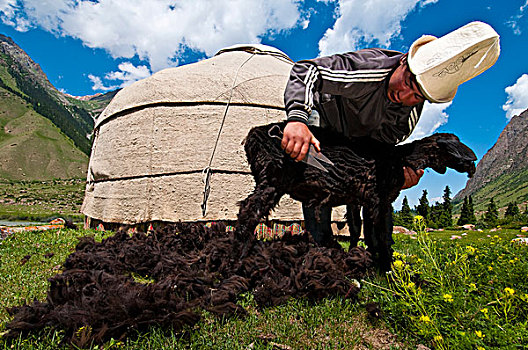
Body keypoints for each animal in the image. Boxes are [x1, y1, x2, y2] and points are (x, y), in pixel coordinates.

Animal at [237, 121, 476, 270]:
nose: (472, 166)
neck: (398, 158)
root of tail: (253, 136)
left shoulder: (365, 201)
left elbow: (365, 232)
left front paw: (368, 258)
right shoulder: (379, 200)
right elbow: (383, 236)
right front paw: (388, 269)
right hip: (273, 179)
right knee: (249, 210)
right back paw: (236, 256)